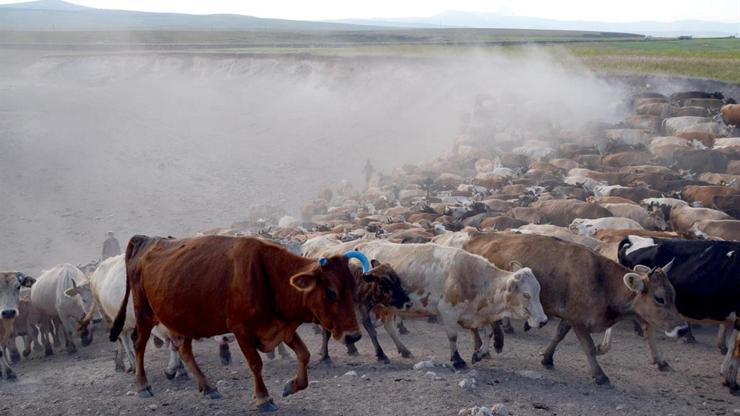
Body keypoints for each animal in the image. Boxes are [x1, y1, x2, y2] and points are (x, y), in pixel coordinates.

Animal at [110, 236, 364, 412]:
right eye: (331, 292)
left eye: (353, 289)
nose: (353, 336)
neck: (267, 275)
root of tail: (146, 240)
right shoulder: (242, 330)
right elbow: (256, 364)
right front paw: (264, 399)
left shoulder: (282, 326)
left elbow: (304, 354)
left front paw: (291, 386)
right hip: (144, 313)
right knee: (139, 345)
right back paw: (142, 386)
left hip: (184, 319)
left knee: (185, 350)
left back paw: (208, 387)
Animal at [462, 232, 688, 386]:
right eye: (659, 298)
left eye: (674, 295)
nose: (683, 329)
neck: (602, 281)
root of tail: (475, 238)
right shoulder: (579, 321)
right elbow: (589, 347)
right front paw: (600, 375)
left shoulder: (570, 316)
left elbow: (559, 334)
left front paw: (547, 358)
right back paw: (489, 345)